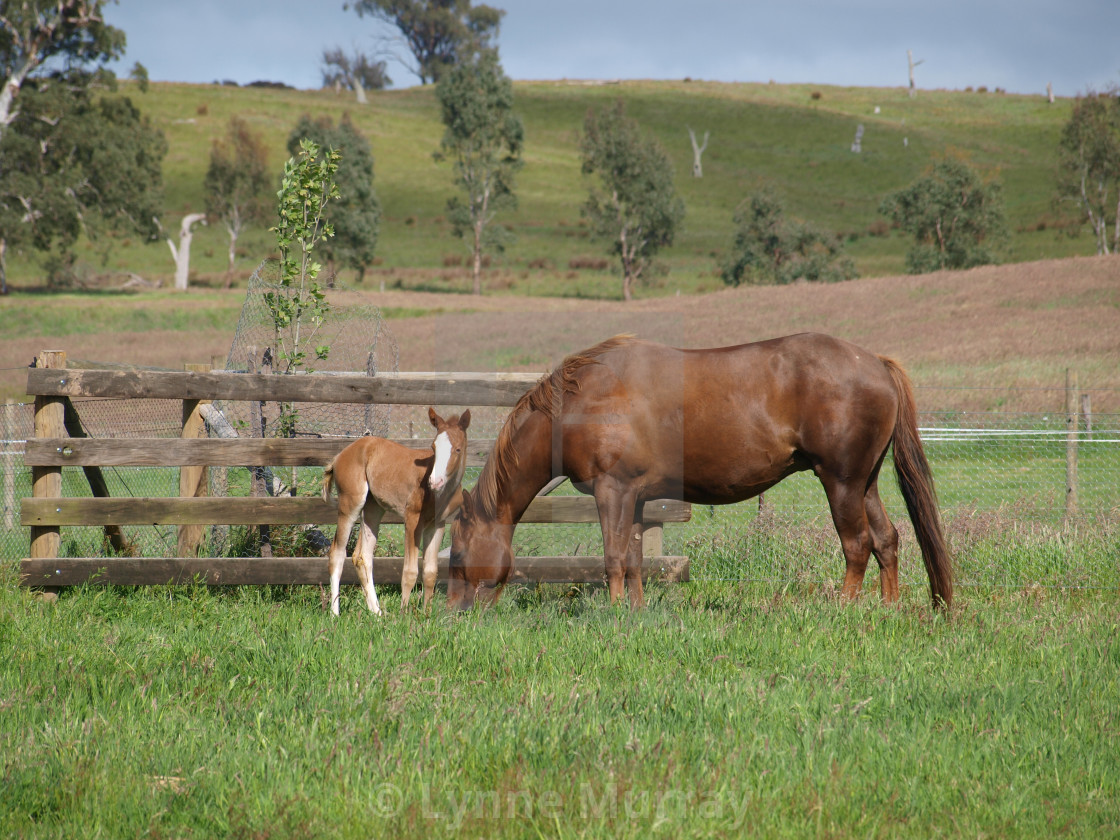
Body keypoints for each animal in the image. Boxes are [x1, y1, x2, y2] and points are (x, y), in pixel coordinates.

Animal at [322, 409, 470, 618]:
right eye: (434, 447)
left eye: (457, 449)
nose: (435, 482)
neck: (440, 494)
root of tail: (339, 456)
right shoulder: (412, 520)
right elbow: (410, 571)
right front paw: (404, 615)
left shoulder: (437, 524)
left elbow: (430, 571)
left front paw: (426, 616)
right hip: (350, 503)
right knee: (337, 553)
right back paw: (335, 613)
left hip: (373, 508)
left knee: (362, 556)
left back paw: (377, 613)